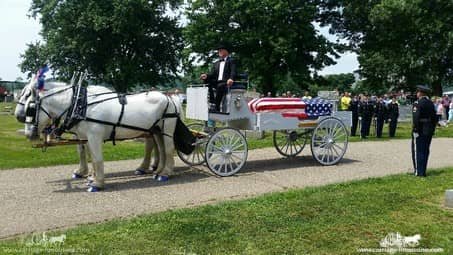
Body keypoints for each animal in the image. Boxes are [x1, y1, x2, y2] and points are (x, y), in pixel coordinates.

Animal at [14, 78, 177, 192]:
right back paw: (156, 170)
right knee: (160, 149)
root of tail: (169, 97)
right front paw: (89, 176)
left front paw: (97, 183)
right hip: (155, 130)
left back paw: (164, 173)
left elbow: (97, 159)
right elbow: (87, 154)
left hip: (166, 129)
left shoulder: (94, 136)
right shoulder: (84, 136)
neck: (80, 105)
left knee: (167, 149)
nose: (28, 134)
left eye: (30, 108)